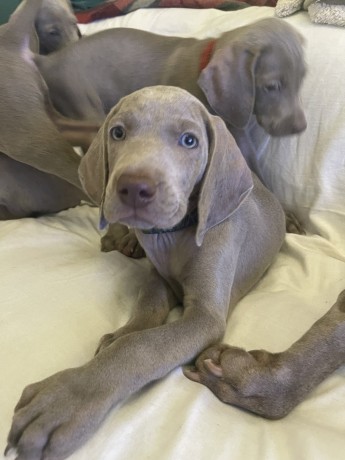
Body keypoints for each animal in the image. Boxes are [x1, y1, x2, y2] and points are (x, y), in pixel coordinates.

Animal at [8, 86, 344, 460]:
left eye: (189, 140)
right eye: (118, 133)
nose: (134, 187)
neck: (172, 236)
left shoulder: (205, 316)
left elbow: (143, 346)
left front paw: (65, 399)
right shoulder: (157, 278)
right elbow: (146, 311)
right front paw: (120, 333)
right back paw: (124, 238)